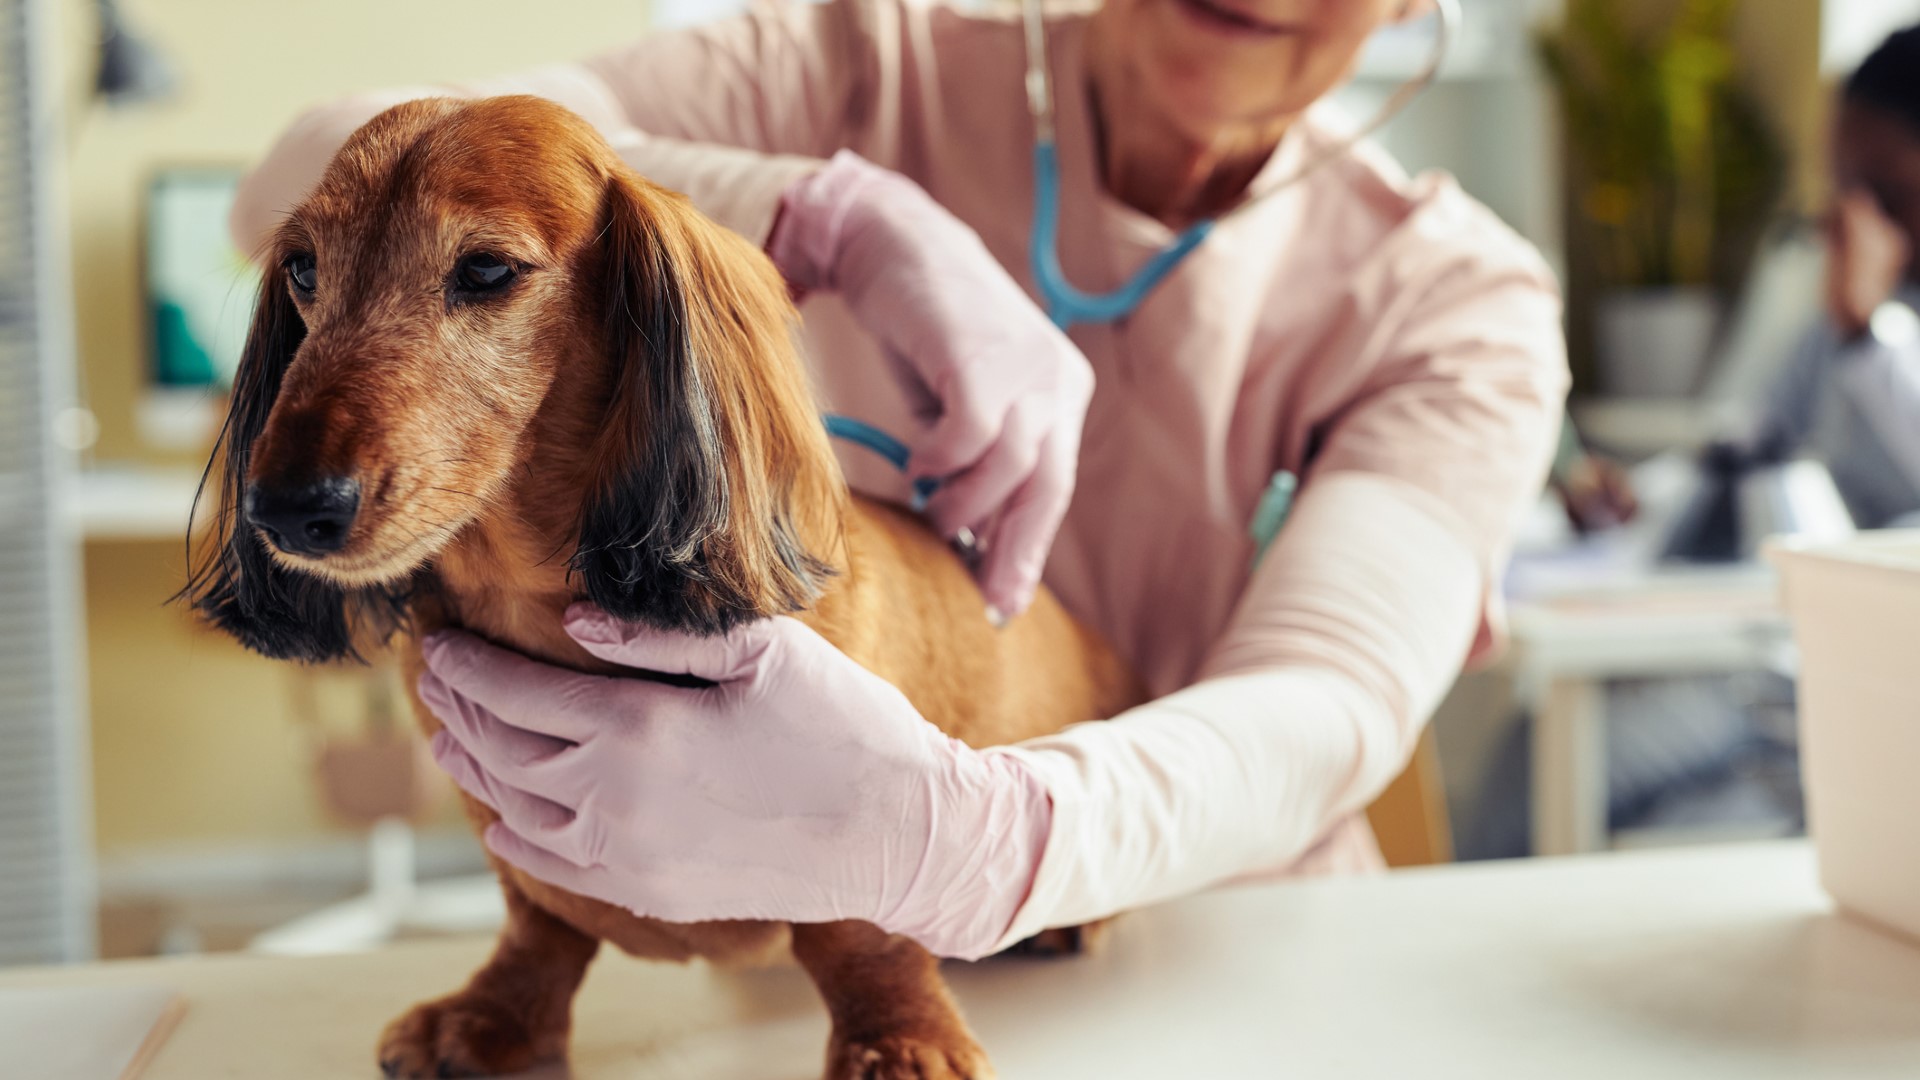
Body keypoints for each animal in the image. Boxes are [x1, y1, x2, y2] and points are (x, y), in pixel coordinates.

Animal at [183, 94, 1136, 1076]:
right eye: (303, 267)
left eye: (486, 269)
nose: (285, 507)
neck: (534, 605)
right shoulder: (513, 841)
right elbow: (539, 924)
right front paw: (494, 1014)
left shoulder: (875, 817)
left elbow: (862, 935)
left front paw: (899, 1037)